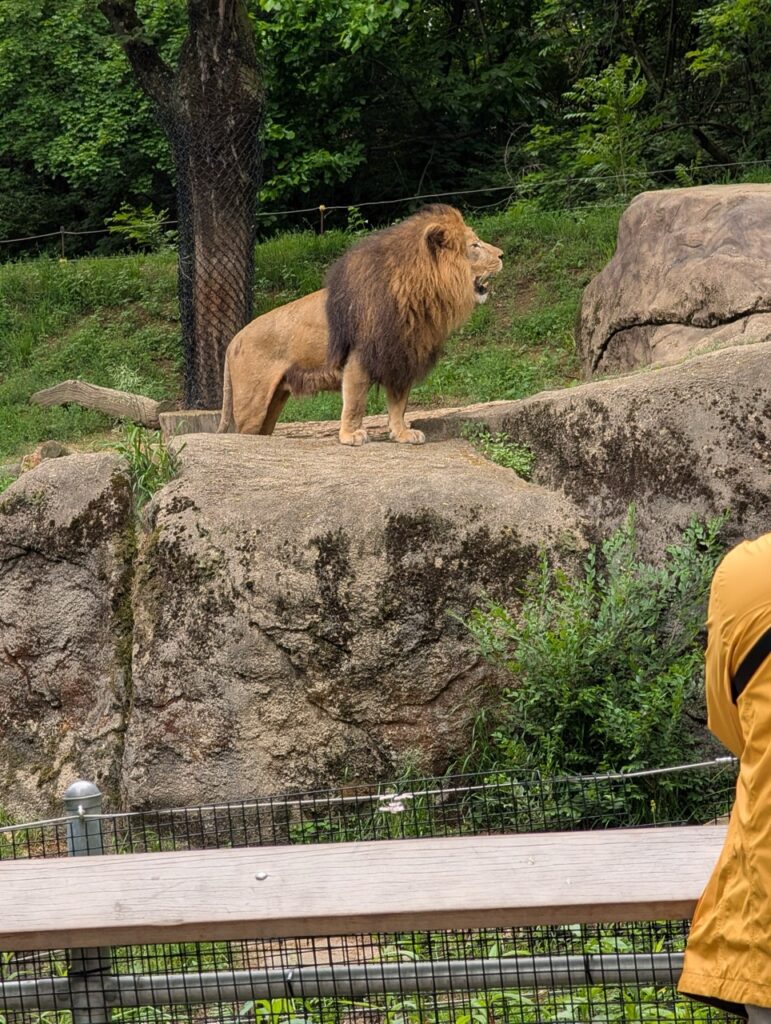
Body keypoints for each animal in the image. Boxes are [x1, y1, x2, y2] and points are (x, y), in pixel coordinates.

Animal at [218, 205, 503, 444]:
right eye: (475, 245)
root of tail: (234, 339)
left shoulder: (400, 358)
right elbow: (355, 402)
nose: (502, 254)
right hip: (252, 403)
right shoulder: (360, 358)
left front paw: (402, 434)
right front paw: (350, 435)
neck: (420, 293)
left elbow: (399, 404)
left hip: (274, 400)